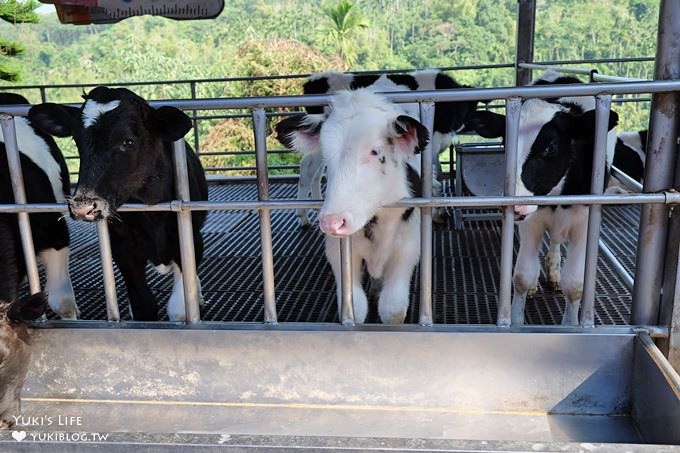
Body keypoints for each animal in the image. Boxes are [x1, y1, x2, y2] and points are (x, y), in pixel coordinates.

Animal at [29, 87, 209, 322]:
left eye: (128, 142)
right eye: (77, 141)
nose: (83, 207)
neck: (152, 212)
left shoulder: (191, 241)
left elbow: (180, 308)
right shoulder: (123, 251)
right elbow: (143, 305)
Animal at [274, 88, 424, 324]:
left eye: (375, 151)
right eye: (325, 152)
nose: (332, 222)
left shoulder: (407, 248)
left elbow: (393, 310)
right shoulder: (337, 251)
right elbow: (356, 309)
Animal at [294, 69, 478, 226]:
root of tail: (314, 80)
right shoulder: (431, 143)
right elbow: (433, 175)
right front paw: (438, 211)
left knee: (316, 171)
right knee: (308, 167)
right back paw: (303, 217)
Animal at [464, 92, 620, 324]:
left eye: (550, 147)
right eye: (505, 143)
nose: (515, 206)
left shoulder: (583, 225)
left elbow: (575, 285)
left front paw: (570, 324)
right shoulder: (531, 222)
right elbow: (521, 276)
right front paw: (516, 320)